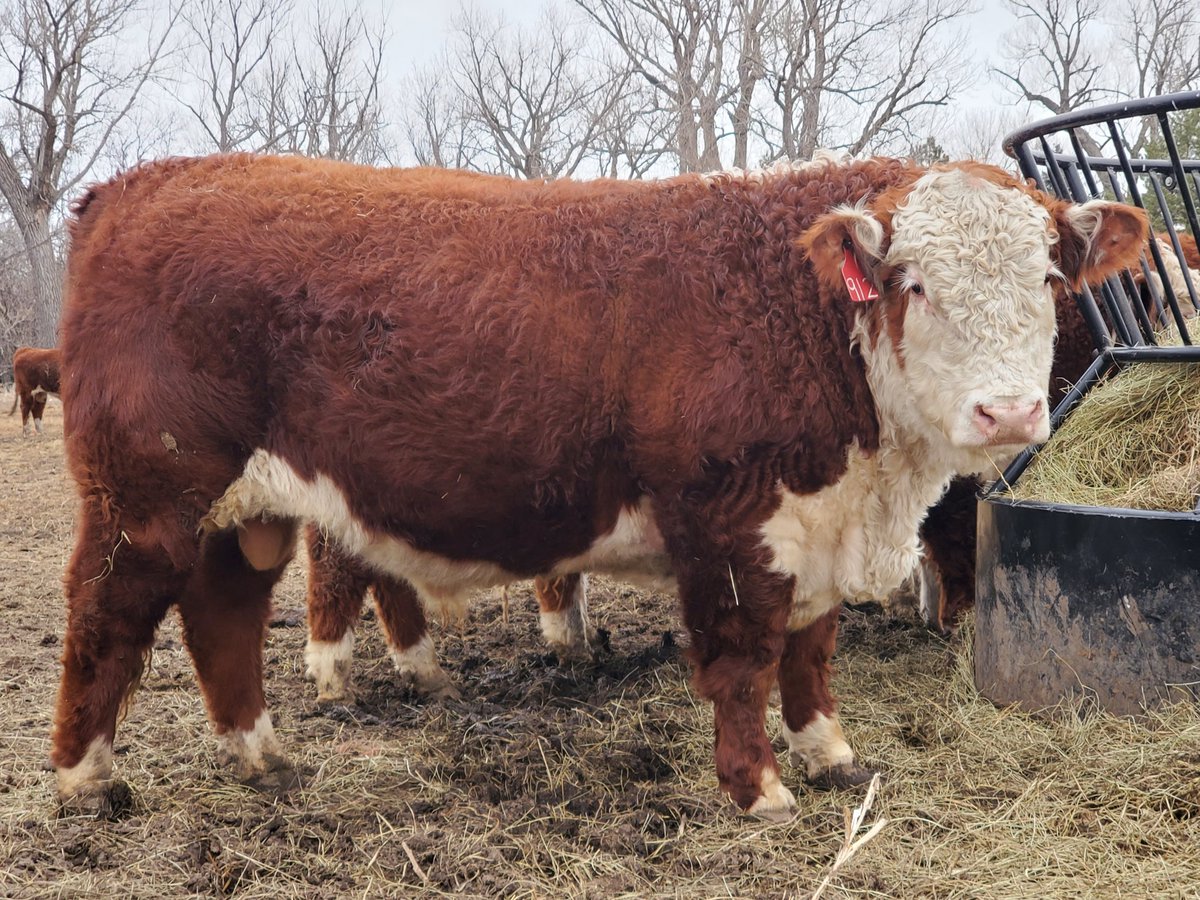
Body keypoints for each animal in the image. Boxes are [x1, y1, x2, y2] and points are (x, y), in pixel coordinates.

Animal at [53, 153, 1146, 819]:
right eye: (915, 283)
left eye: (1051, 281)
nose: (1008, 413)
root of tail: (137, 184)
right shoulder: (728, 527)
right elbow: (745, 660)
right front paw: (758, 789)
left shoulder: (813, 526)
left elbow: (810, 651)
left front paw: (831, 754)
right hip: (144, 502)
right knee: (108, 614)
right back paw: (82, 778)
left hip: (242, 514)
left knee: (223, 617)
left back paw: (261, 755)